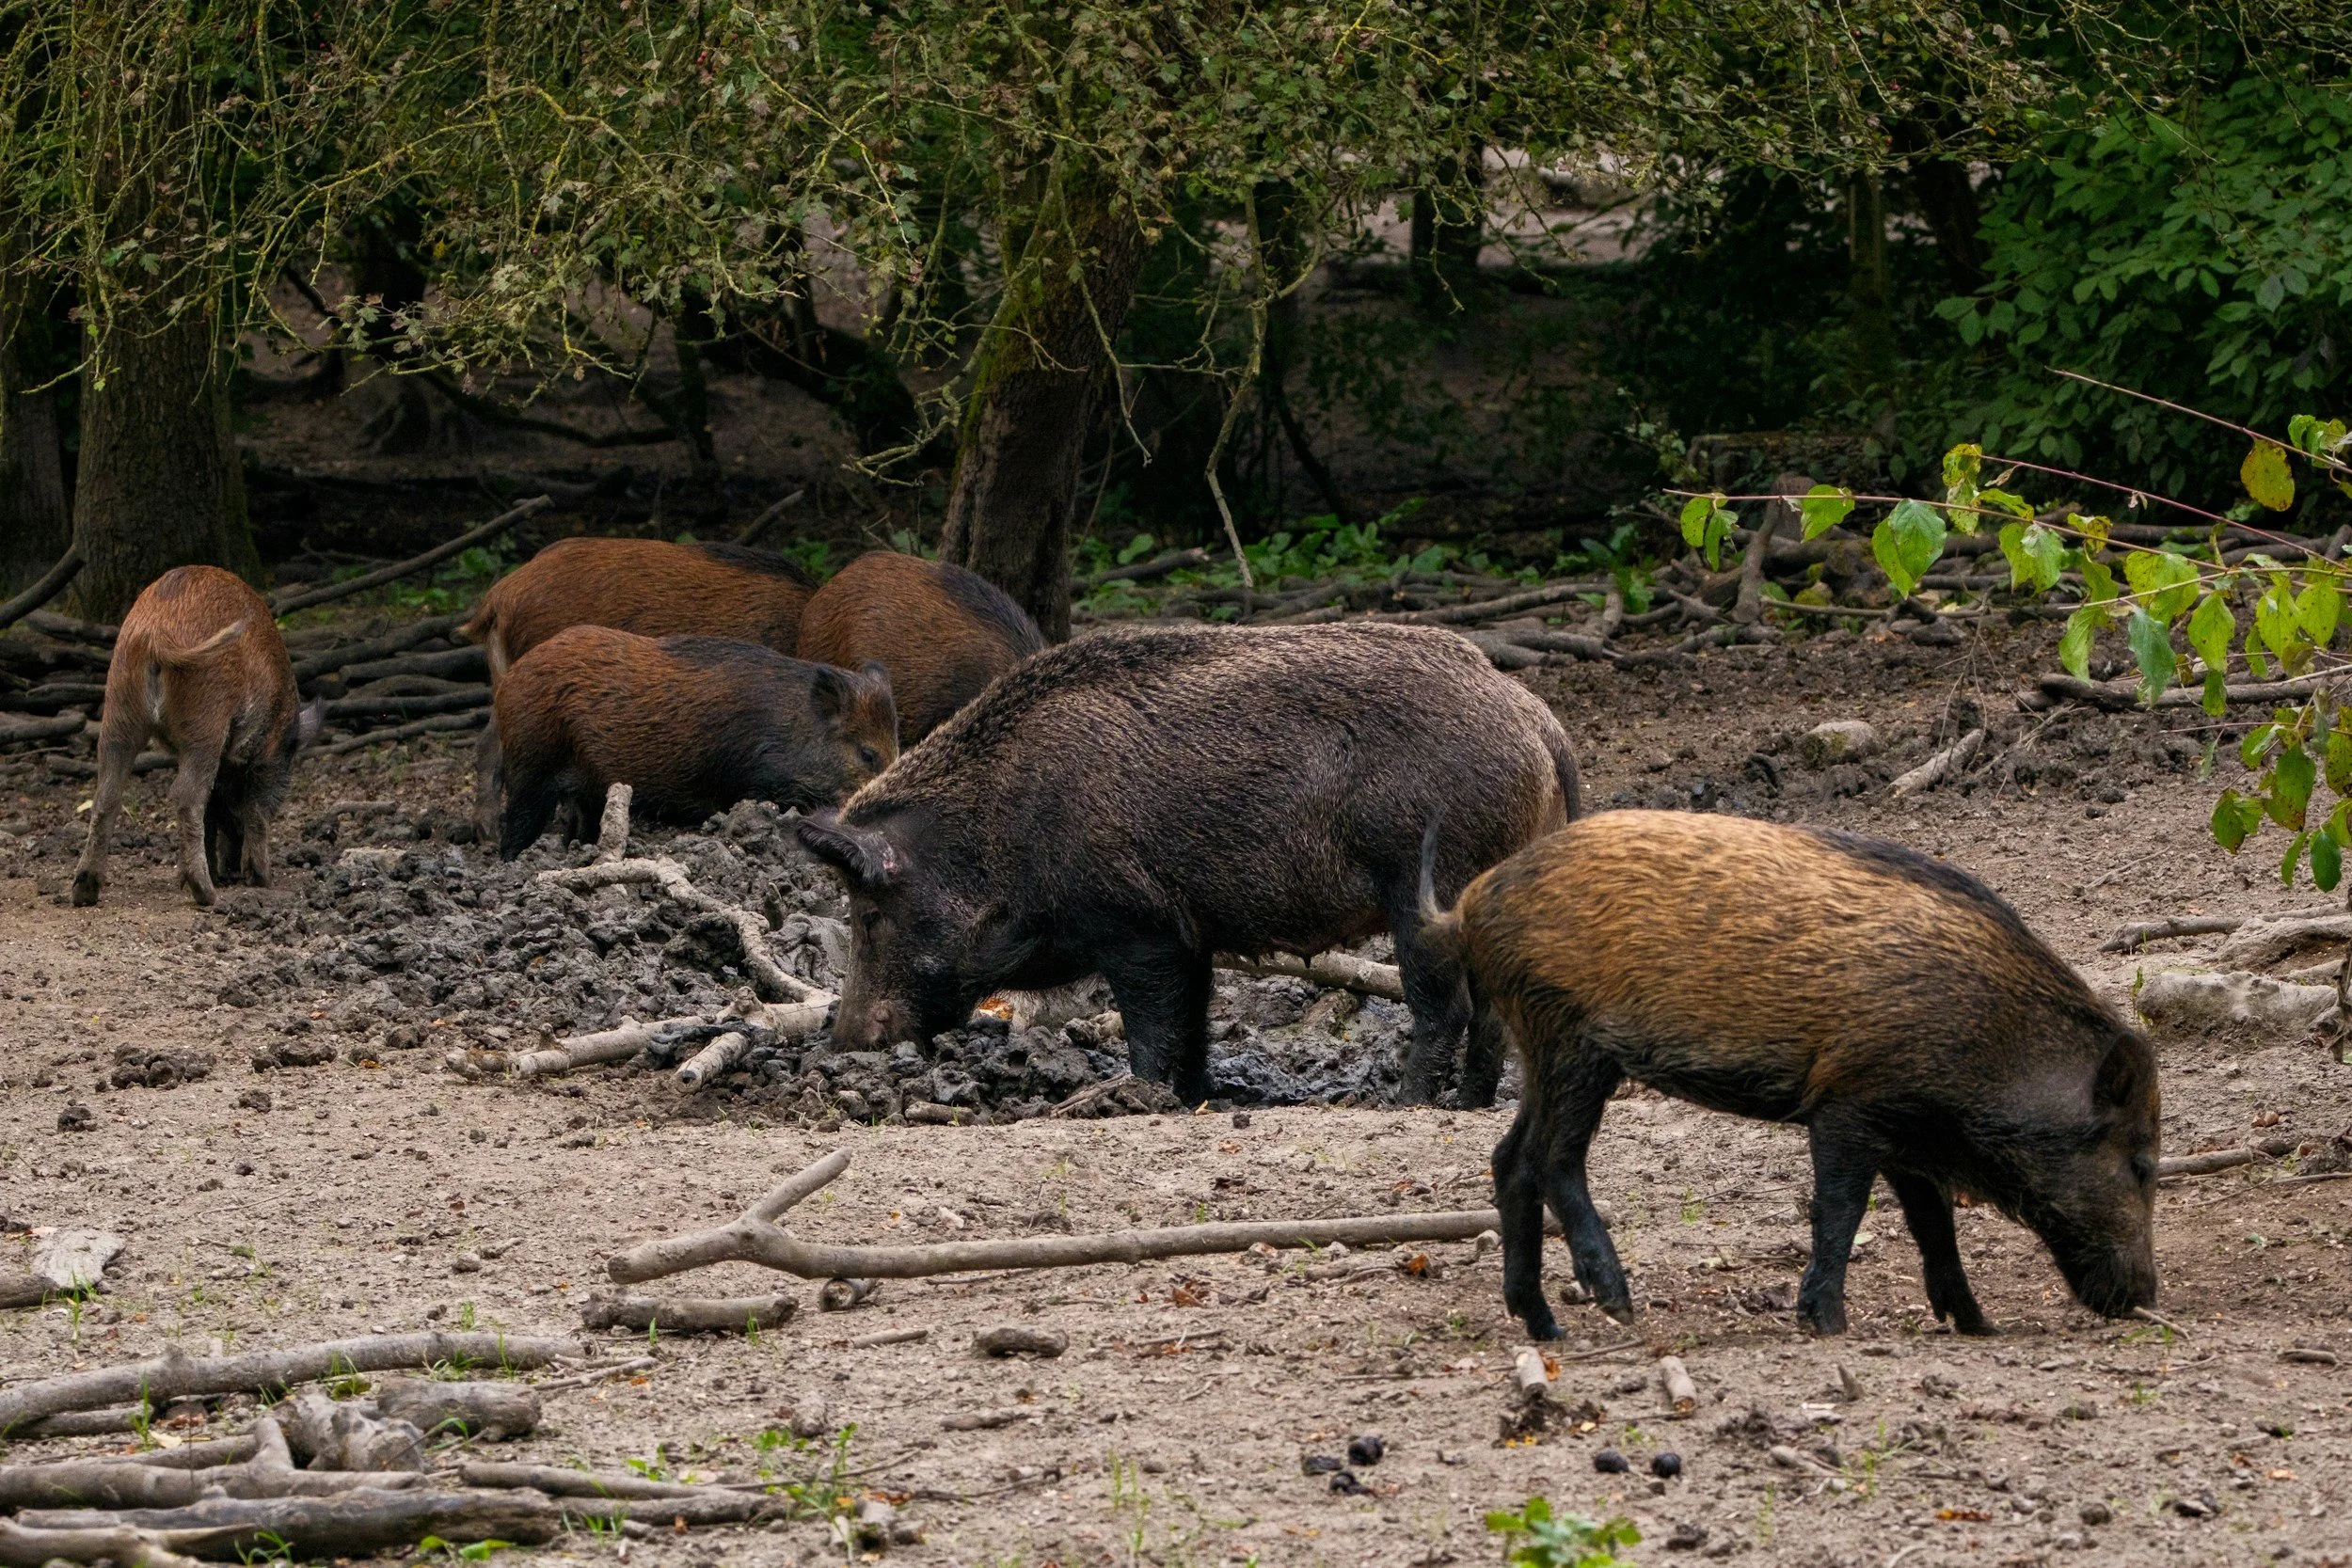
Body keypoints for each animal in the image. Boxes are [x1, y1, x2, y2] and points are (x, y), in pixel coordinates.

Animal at [72, 566, 324, 908]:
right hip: (206, 720)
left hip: (118, 709)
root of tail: (156, 633)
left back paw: (84, 893)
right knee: (186, 795)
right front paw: (262, 880)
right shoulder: (267, 755)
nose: (234, 872)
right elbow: (255, 808)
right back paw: (208, 894)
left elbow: (213, 810)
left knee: (106, 795)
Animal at [494, 625, 897, 859]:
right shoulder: (748, 780)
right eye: (867, 754)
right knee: (518, 821)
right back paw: (511, 863)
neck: (789, 731)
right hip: (530, 762)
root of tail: (510, 678)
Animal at [794, 622, 1580, 1105]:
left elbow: (1150, 1021)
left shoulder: (1134, 923)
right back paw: (1468, 1104)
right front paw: (1198, 1097)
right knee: (1492, 1014)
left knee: (1446, 1004)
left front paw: (1138, 1096)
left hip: (1427, 881)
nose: (840, 1042)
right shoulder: (1190, 932)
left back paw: (1405, 1103)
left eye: (870, 913)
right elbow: (1195, 1019)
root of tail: (1539, 721)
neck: (997, 829)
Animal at [1417, 809, 2160, 1339]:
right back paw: (1618, 1303)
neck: (1990, 1040)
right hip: (1571, 1043)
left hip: (1543, 1048)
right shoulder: (1848, 1106)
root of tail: (1469, 906)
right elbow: (1840, 1211)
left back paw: (1548, 1329)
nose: (2145, 1301)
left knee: (1509, 1158)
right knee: (1552, 1160)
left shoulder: (1908, 1131)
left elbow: (1933, 1223)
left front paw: (1979, 1326)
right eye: (2143, 1164)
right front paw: (1827, 1324)